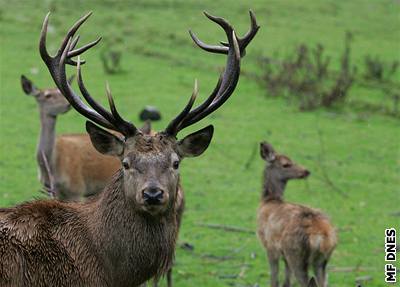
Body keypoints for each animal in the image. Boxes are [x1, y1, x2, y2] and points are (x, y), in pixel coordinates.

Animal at [258, 142, 336, 287]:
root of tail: (323, 237)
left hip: (296, 254)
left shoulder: (270, 246)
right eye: (286, 164)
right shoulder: (283, 255)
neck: (268, 202)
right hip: (322, 260)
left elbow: (274, 279)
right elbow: (286, 282)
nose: (306, 171)